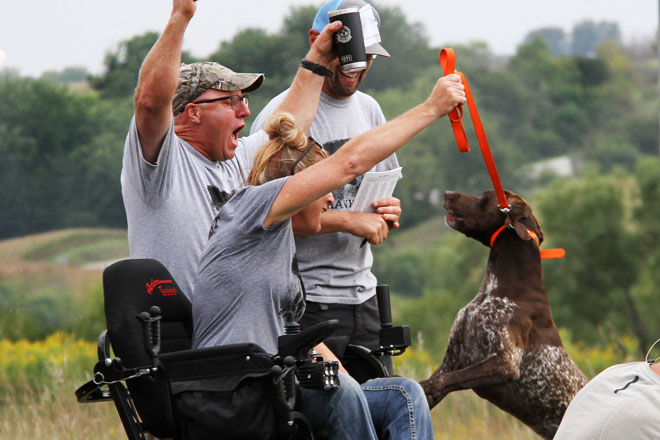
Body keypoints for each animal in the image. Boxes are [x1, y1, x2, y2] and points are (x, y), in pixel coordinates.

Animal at [420, 190, 584, 440]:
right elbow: (429, 382)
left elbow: (437, 382)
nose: (447, 193)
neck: (496, 288)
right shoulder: (451, 361)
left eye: (484, 196)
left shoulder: (505, 363)